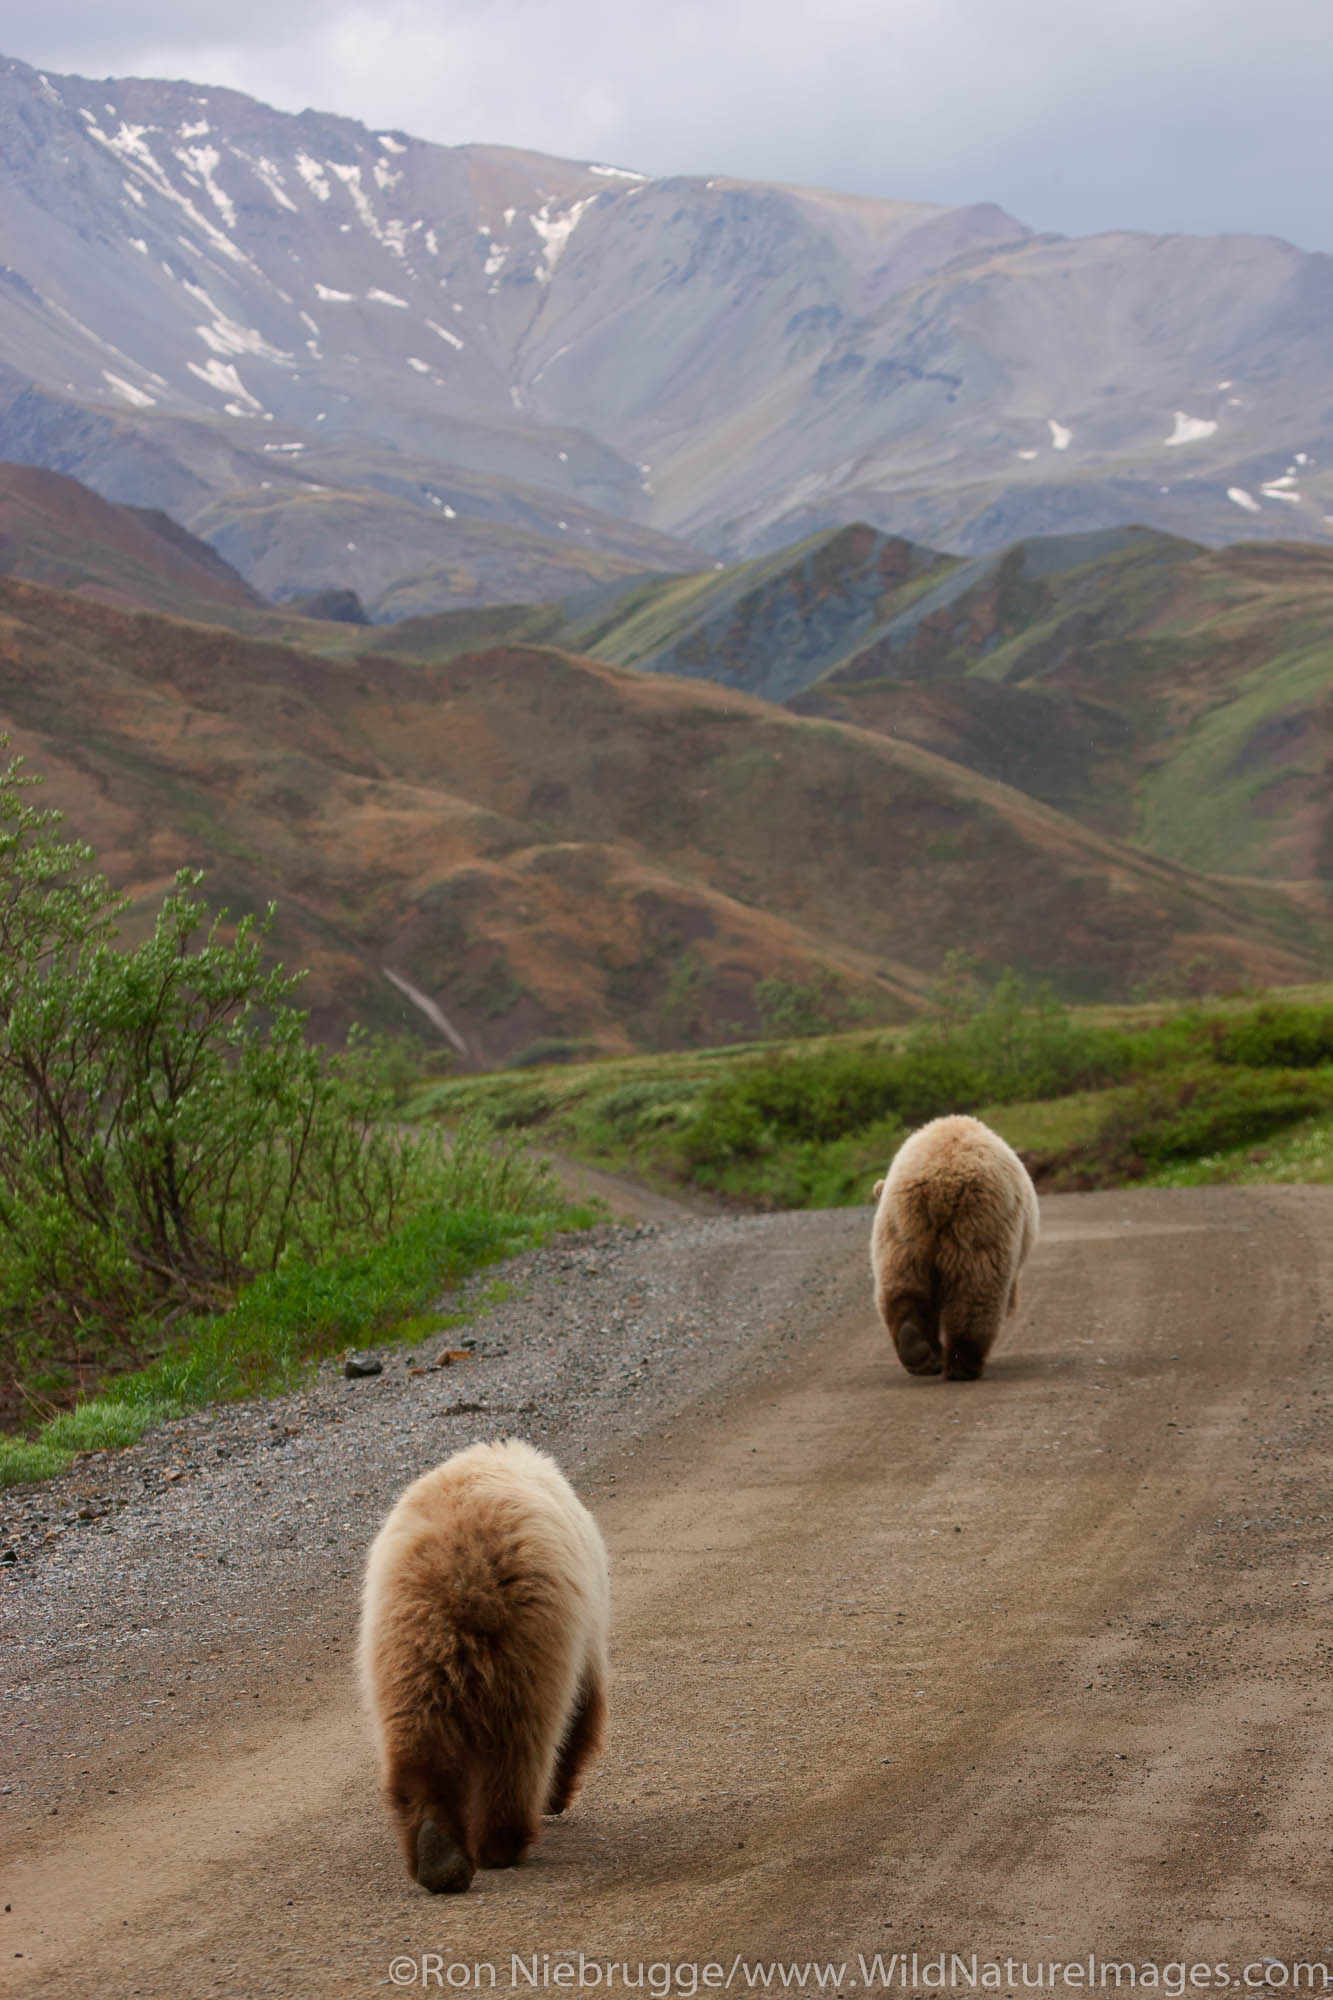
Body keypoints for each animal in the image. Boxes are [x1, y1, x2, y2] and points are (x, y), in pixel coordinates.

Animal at [356, 1440, 608, 1888]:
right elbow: (583, 1708)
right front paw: (556, 1796)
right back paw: (502, 1842)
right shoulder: (587, 1628)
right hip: (530, 1639)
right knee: (520, 1743)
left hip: (404, 1646)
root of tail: (464, 1571)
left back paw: (437, 1852)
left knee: (418, 1741)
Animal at [868, 1120, 1032, 1384]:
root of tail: (940, 1184)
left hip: (902, 1230)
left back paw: (916, 1349)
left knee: (902, 1286)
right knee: (976, 1293)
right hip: (978, 1225)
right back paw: (964, 1364)